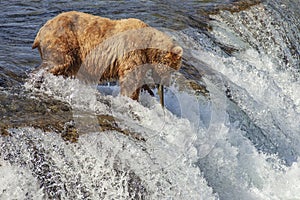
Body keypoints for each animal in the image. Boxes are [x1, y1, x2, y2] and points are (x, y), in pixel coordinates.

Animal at [32, 10, 183, 101]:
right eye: (172, 69)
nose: (166, 83)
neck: (148, 47)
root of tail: (40, 31)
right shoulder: (132, 50)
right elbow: (130, 78)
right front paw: (131, 98)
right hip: (64, 40)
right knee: (58, 62)